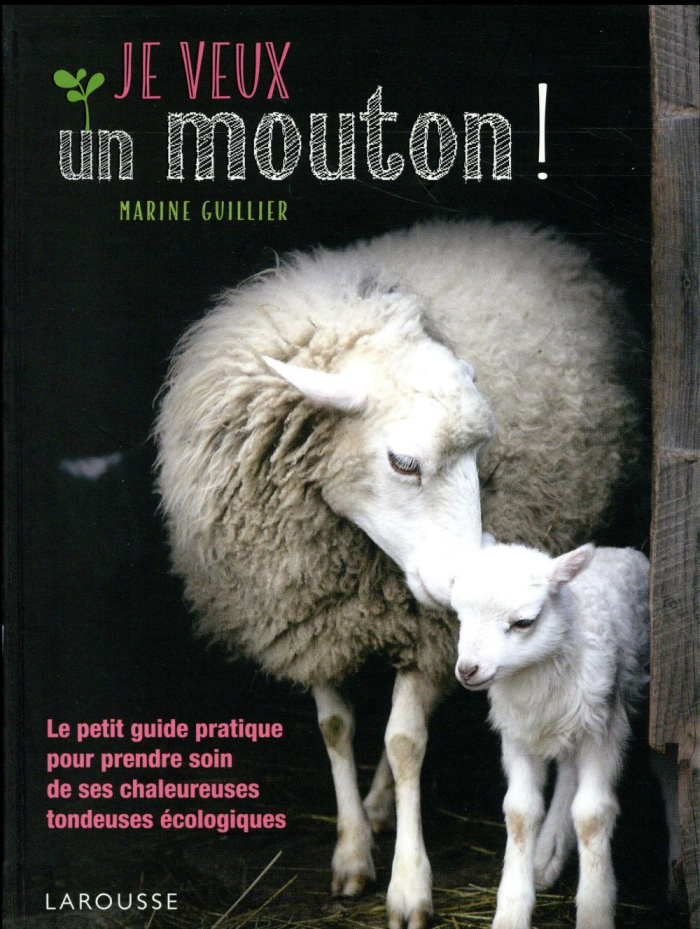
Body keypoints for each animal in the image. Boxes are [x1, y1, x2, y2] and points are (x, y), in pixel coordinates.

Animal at [452, 542, 650, 929]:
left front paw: (595, 909)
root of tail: (617, 548)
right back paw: (545, 858)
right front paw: (511, 911)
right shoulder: (517, 733)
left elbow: (591, 815)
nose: (468, 670)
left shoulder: (604, 726)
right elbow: (520, 813)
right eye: (460, 617)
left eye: (523, 622)